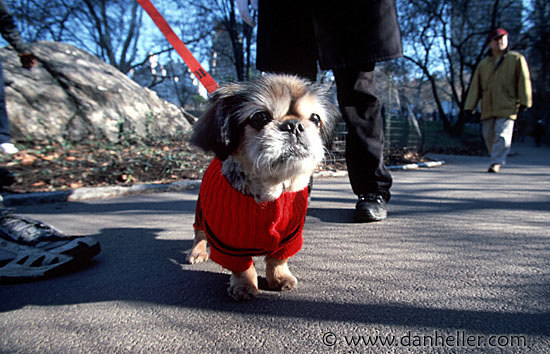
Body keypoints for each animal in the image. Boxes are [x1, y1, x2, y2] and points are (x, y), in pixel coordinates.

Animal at [188, 73, 338, 300]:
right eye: (259, 117)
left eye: (315, 119)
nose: (294, 125)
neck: (271, 190)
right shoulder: (229, 244)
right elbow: (243, 267)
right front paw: (244, 286)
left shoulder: (289, 237)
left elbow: (278, 260)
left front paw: (280, 278)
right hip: (201, 210)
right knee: (199, 231)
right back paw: (197, 252)